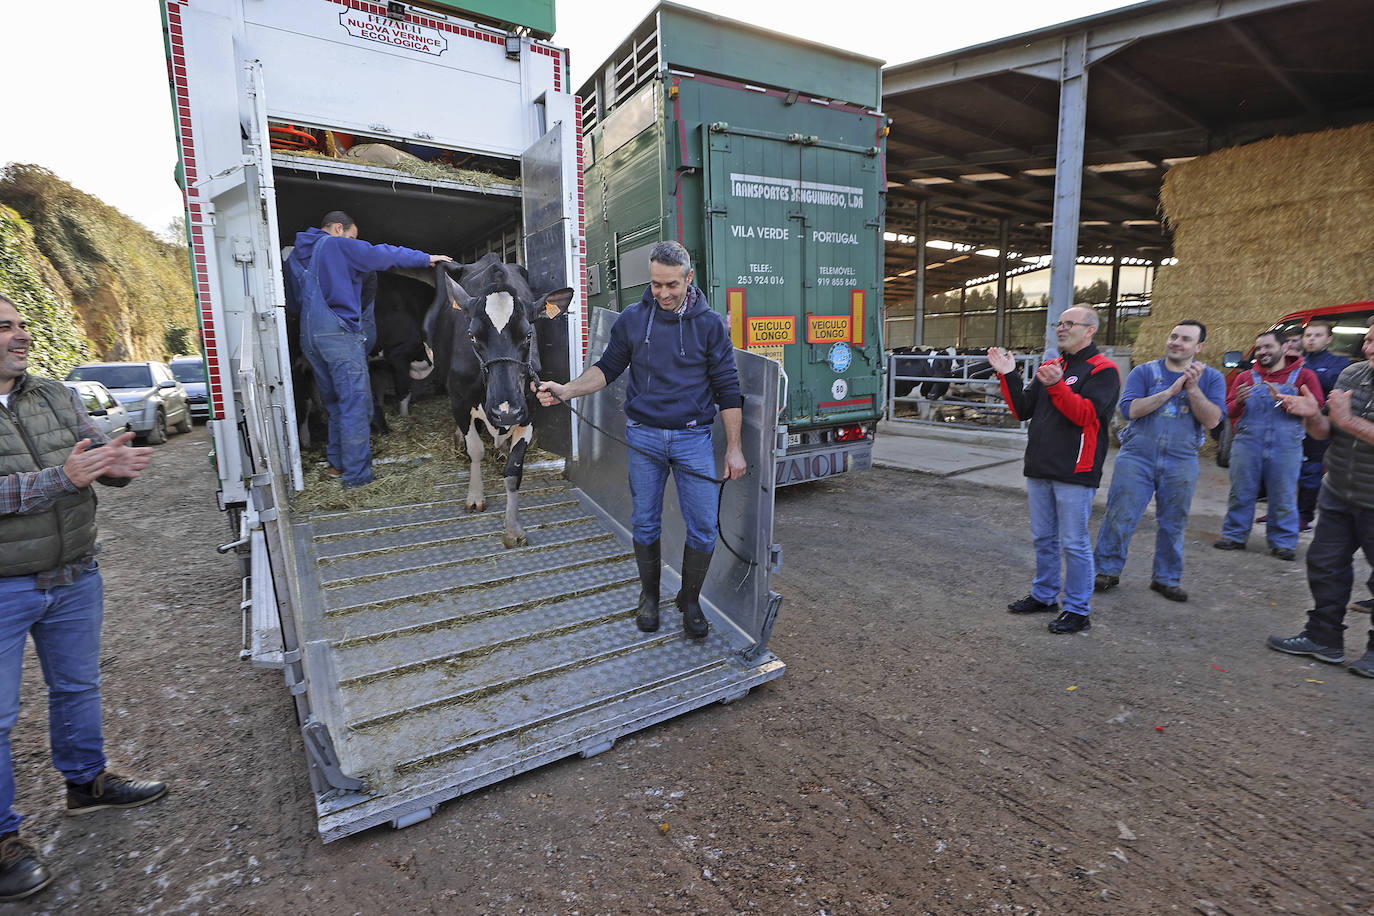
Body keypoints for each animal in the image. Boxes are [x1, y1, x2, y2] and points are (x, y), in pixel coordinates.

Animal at [431, 254, 577, 549]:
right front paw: (475, 496)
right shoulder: (459, 401)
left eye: (529, 334)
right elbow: (475, 450)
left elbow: (514, 469)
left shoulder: (529, 408)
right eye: (472, 336)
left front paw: (512, 528)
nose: (505, 412)